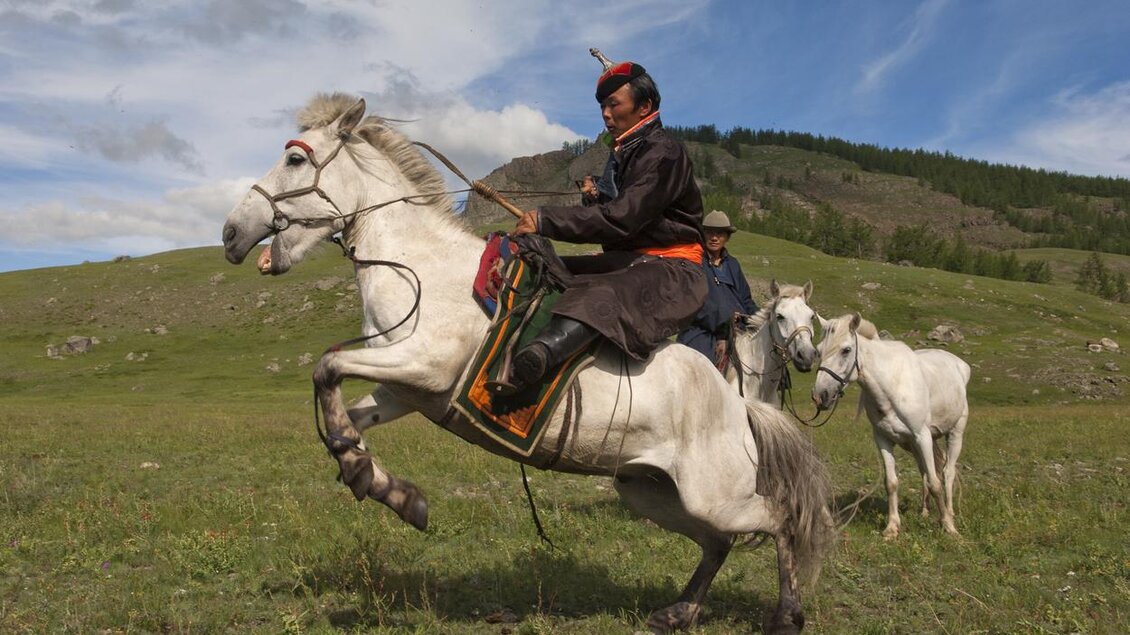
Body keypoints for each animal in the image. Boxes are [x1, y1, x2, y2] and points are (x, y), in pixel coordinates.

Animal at [221, 93, 835, 634]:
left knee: (779, 522)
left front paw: (370, 478)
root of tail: (737, 408)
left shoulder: (425, 367)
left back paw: (786, 616)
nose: (230, 234)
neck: (421, 267)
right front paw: (383, 485)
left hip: (715, 495)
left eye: (295, 159)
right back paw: (678, 613)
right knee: (717, 542)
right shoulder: (404, 388)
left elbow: (325, 370)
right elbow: (343, 414)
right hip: (653, 492)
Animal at [811, 313, 970, 539]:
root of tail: (960, 365)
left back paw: (949, 513)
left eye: (846, 350)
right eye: (818, 350)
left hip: (954, 434)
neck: (891, 386)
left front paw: (948, 526)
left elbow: (935, 482)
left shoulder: (922, 436)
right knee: (924, 472)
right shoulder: (884, 439)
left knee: (947, 473)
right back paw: (924, 512)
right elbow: (892, 483)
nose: (820, 396)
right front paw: (892, 527)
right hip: (915, 445)